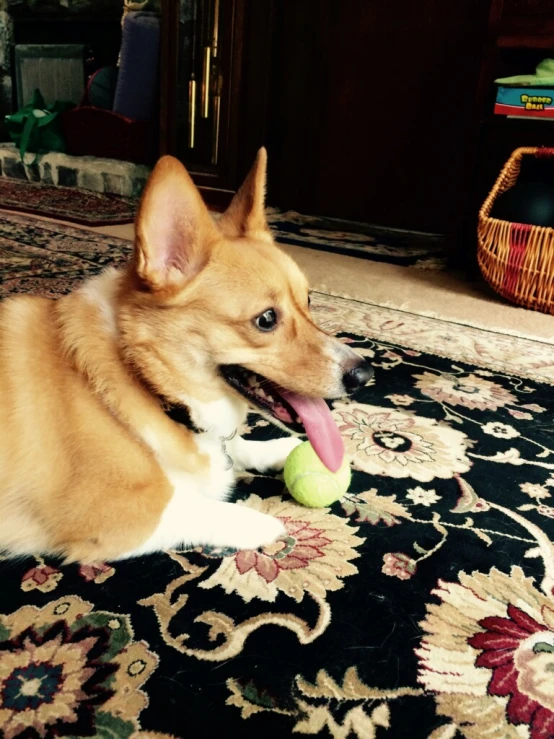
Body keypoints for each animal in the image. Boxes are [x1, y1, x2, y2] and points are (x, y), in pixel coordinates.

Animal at [0, 150, 374, 568]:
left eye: (308, 300)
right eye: (266, 319)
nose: (364, 374)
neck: (146, 382)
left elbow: (235, 446)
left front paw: (279, 449)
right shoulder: (113, 512)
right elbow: (199, 506)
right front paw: (266, 523)